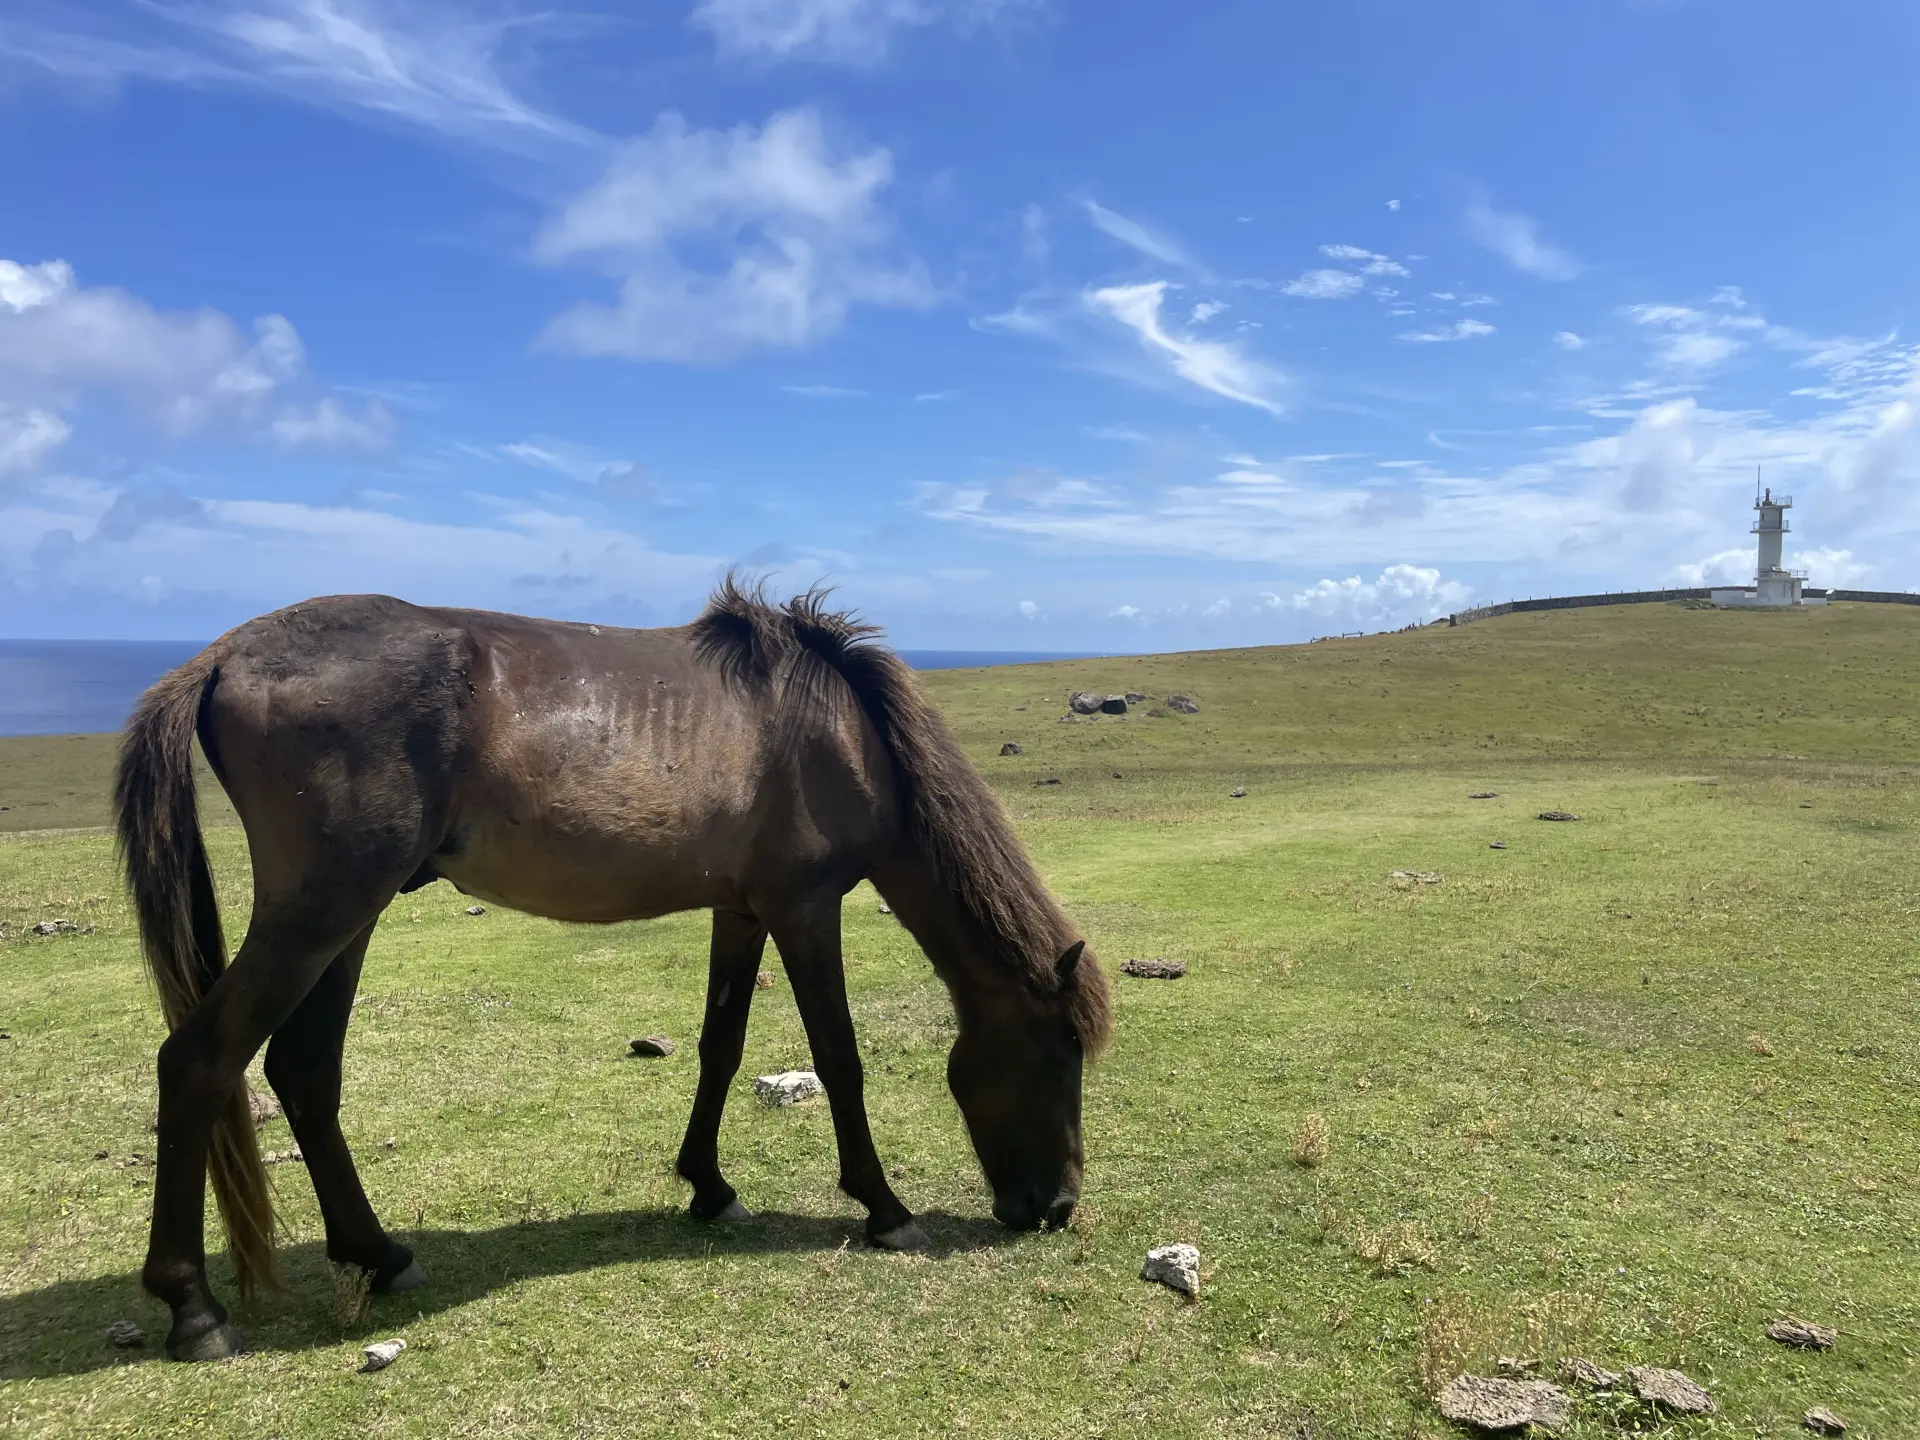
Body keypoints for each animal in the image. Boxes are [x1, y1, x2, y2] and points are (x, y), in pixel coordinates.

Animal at [114, 581, 1113, 1362]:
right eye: (1059, 1053)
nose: (1059, 1205)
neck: (839, 728)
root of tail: (227, 654)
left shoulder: (743, 910)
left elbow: (720, 1045)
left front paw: (709, 1187)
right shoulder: (805, 907)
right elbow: (838, 1058)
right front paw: (883, 1206)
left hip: (347, 918)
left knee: (303, 1071)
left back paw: (380, 1255)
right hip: (320, 912)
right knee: (199, 1062)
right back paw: (194, 1308)